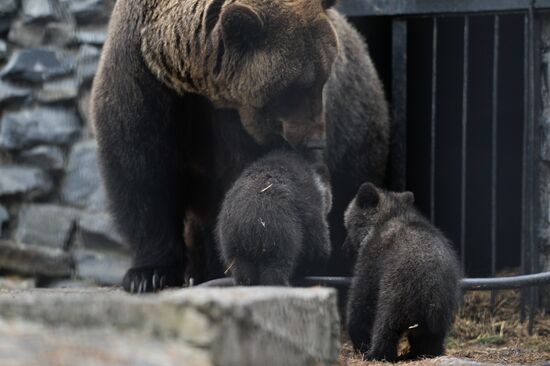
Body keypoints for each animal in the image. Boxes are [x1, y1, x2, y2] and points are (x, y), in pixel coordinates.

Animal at [91, 0, 392, 294]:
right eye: (297, 86)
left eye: (324, 78)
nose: (315, 140)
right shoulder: (144, 82)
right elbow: (141, 174)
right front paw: (148, 274)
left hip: (356, 131)